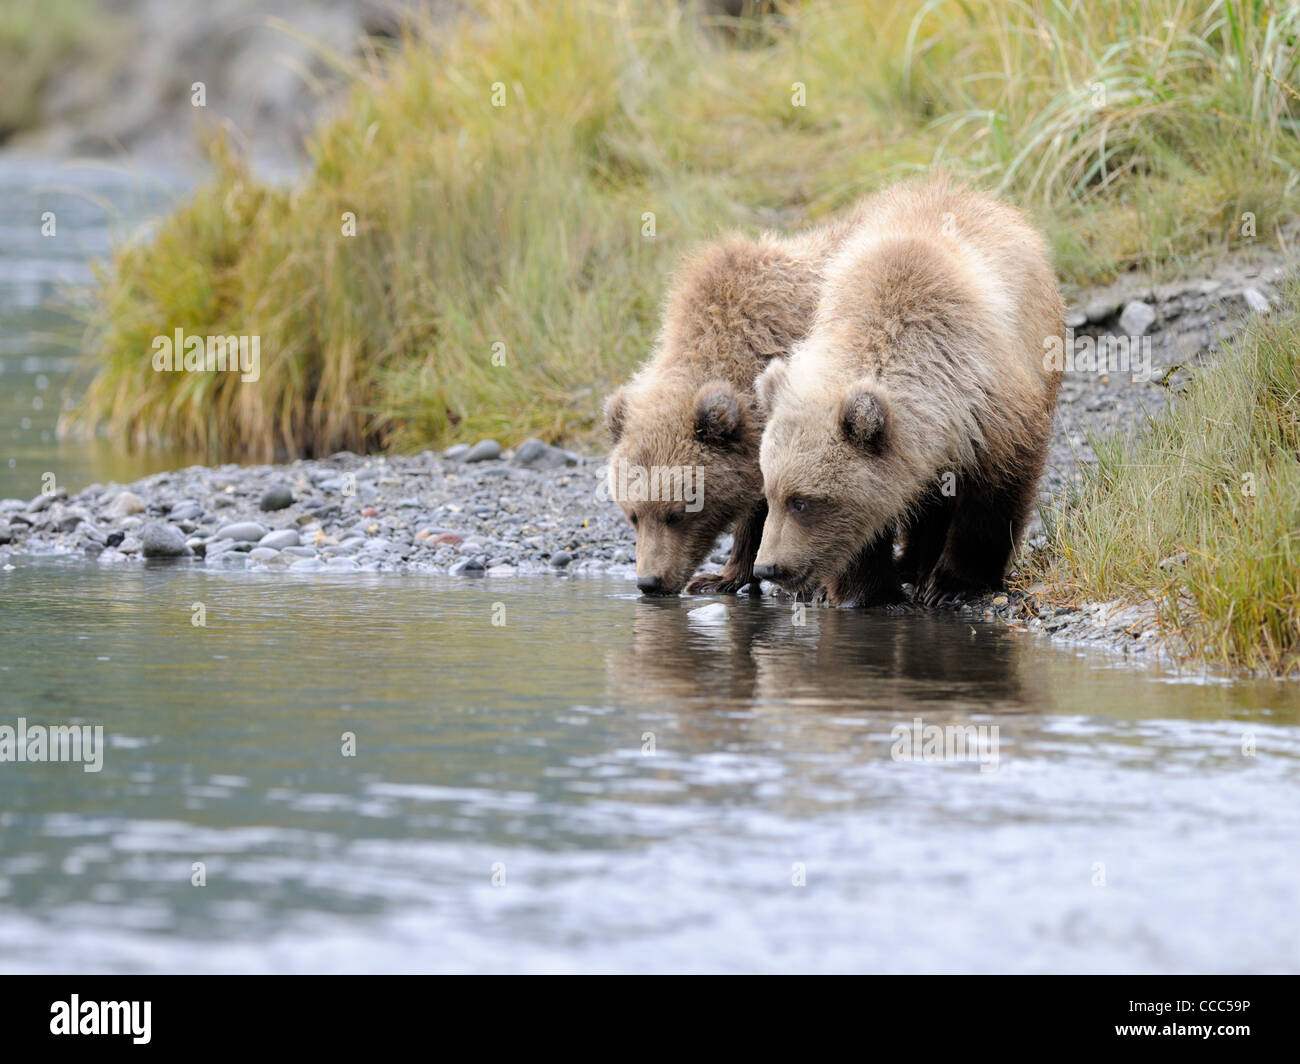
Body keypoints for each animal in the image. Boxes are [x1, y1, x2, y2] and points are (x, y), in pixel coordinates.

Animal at [751, 176, 1064, 607]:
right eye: (770, 492)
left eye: (802, 501)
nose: (768, 568)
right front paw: (863, 588)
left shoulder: (992, 407)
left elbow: (995, 493)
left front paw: (953, 583)